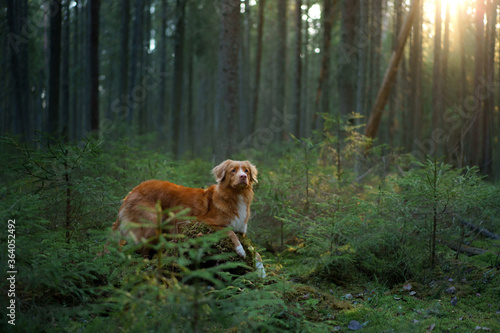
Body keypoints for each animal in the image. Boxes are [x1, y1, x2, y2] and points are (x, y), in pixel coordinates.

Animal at [112, 160, 258, 258]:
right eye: (233, 170)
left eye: (246, 171)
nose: (243, 177)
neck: (236, 195)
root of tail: (131, 193)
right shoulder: (207, 222)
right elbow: (231, 232)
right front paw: (240, 250)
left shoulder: (242, 232)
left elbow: (255, 251)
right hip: (151, 223)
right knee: (140, 249)